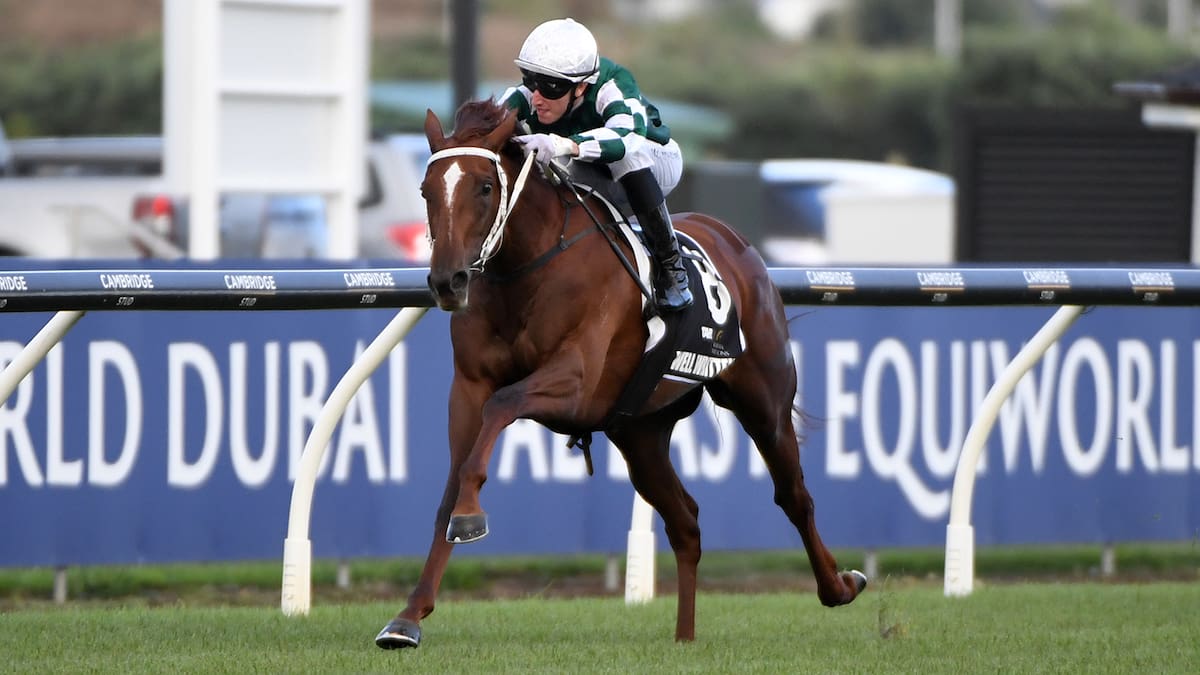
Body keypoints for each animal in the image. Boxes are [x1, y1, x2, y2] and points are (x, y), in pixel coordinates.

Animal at [375, 98, 866, 649]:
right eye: (426, 189)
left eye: (484, 186)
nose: (448, 281)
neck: (527, 269)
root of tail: (737, 242)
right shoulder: (468, 387)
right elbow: (450, 486)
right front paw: (408, 616)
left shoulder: (576, 385)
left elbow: (502, 408)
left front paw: (469, 516)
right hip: (640, 431)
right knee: (685, 521)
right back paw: (684, 635)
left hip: (764, 404)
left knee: (794, 496)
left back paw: (840, 586)